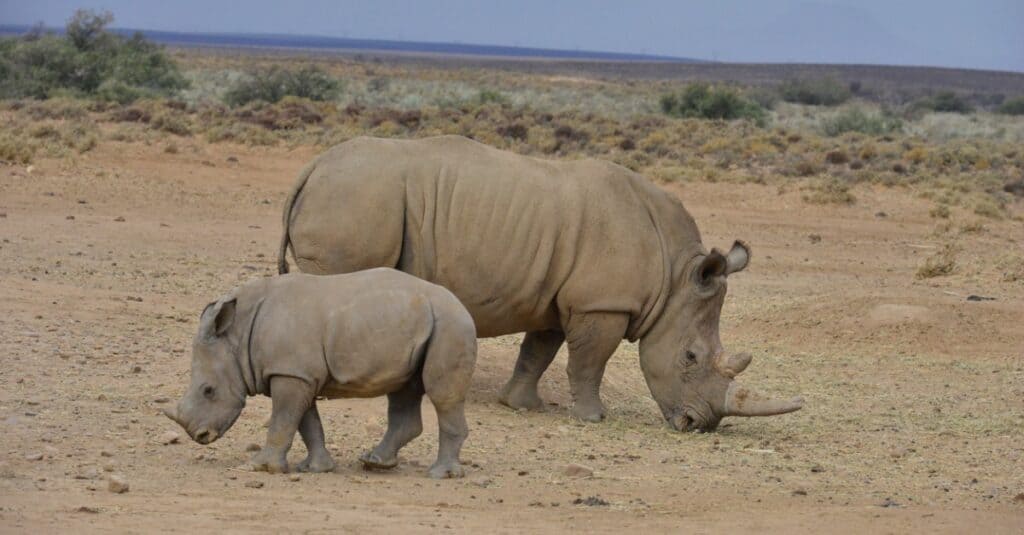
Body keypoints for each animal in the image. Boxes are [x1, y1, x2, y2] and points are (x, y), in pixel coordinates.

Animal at [161, 268, 477, 477]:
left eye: (208, 390)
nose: (200, 436)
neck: (237, 336)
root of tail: (463, 306)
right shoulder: (297, 372)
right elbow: (306, 421)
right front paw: (316, 468)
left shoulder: (290, 373)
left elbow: (284, 419)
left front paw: (260, 467)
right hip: (423, 325)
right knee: (404, 391)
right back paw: (374, 462)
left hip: (450, 325)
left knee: (441, 395)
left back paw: (440, 474)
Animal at [276, 135, 802, 430]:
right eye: (690, 358)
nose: (699, 424)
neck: (674, 276)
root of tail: (311, 168)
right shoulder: (602, 303)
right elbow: (589, 361)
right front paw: (592, 418)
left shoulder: (560, 298)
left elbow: (539, 350)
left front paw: (520, 405)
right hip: (355, 198)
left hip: (351, 195)